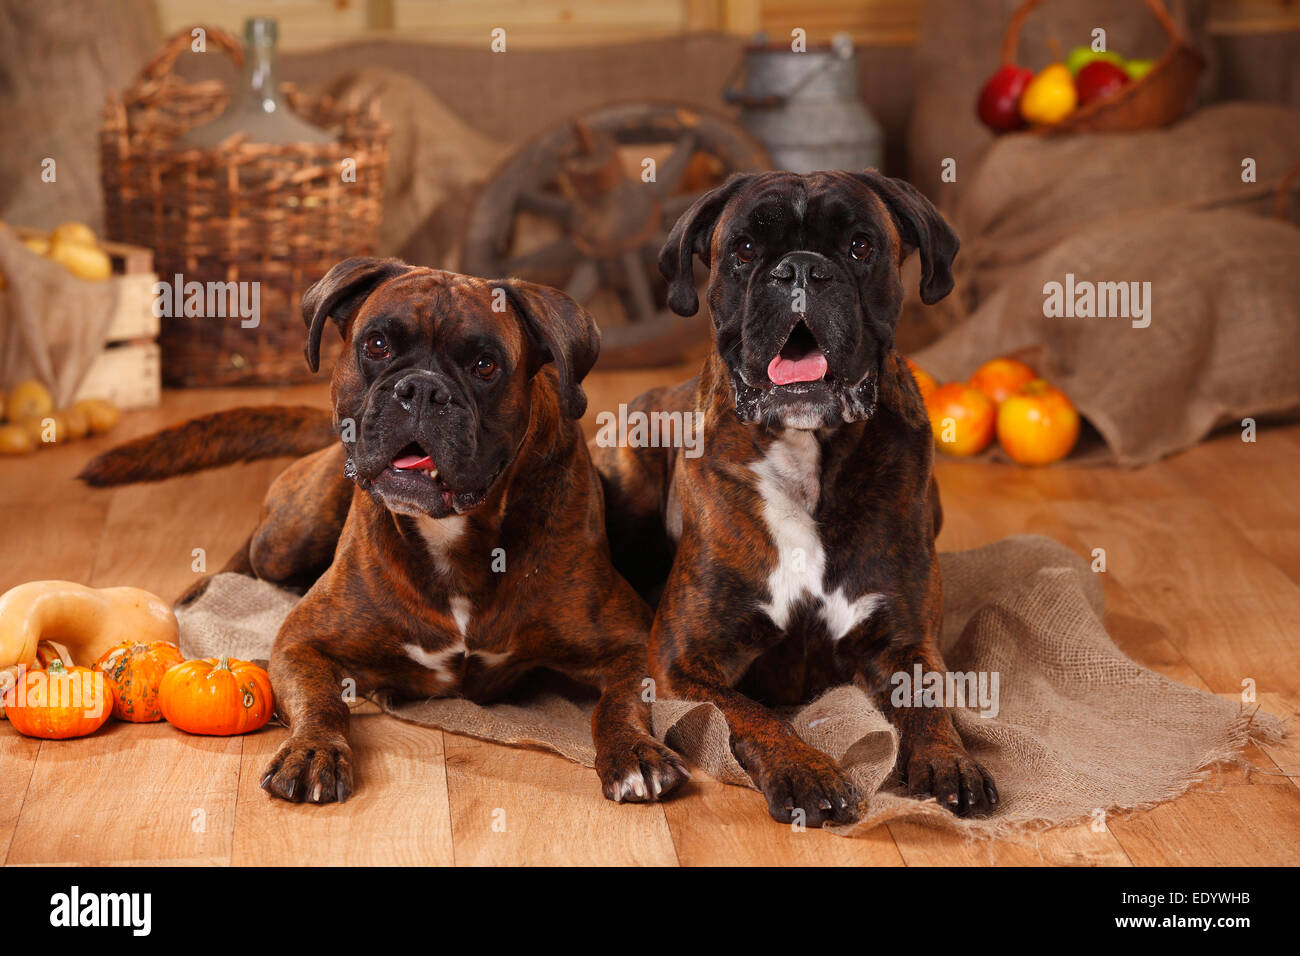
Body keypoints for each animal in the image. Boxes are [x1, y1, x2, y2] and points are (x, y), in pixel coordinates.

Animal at [81, 260, 691, 806]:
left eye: (485, 365)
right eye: (375, 345)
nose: (421, 389)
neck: (452, 533)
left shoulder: (630, 643)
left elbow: (619, 704)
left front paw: (634, 752)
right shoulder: (301, 643)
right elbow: (322, 702)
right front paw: (312, 752)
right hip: (292, 533)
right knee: (252, 553)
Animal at [595, 171, 998, 832]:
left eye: (860, 246)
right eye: (745, 249)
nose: (802, 270)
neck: (808, 459)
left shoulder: (906, 642)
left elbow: (930, 702)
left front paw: (950, 760)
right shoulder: (681, 661)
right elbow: (749, 715)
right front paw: (807, 772)